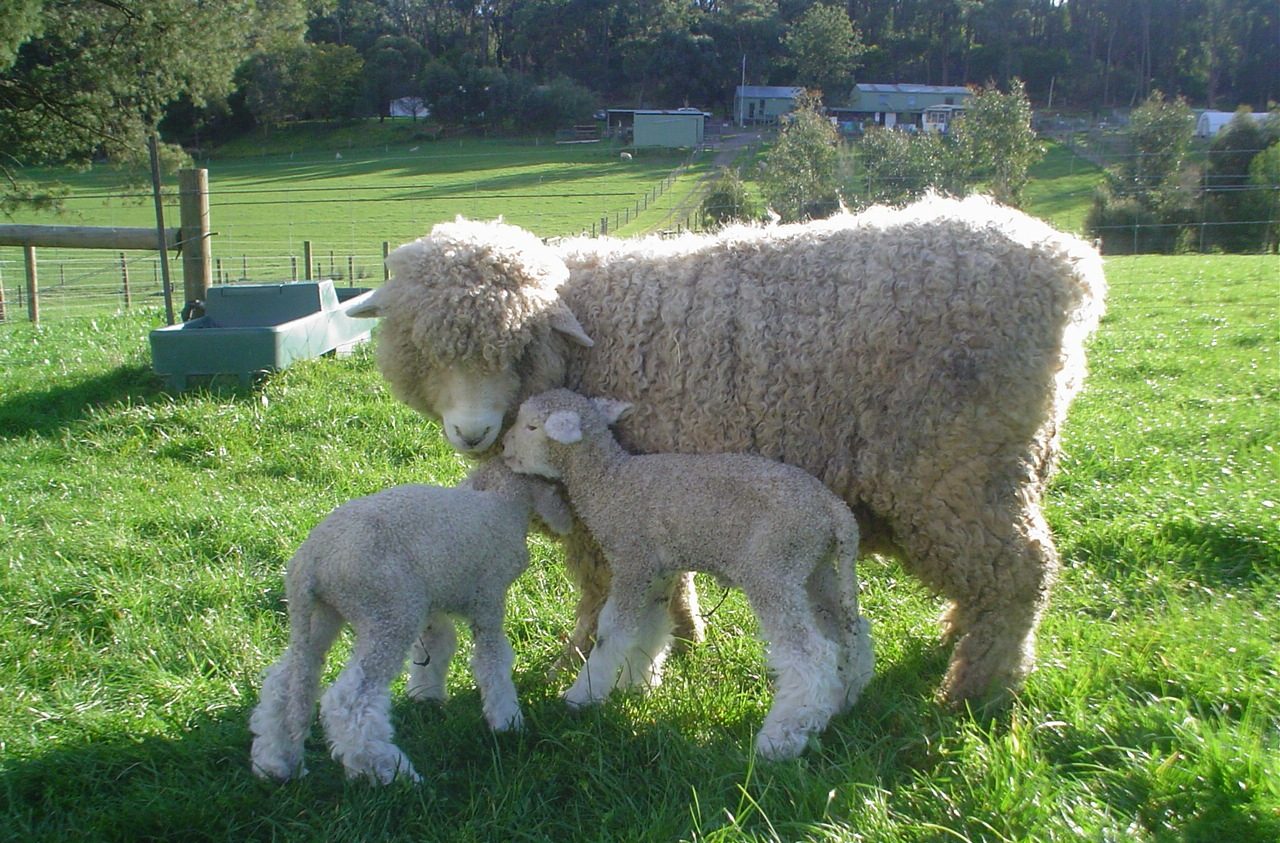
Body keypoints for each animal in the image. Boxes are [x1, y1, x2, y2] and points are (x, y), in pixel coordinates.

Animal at [249, 460, 572, 784]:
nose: (569, 517)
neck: (502, 501)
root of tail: (311, 562)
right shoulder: (488, 596)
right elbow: (492, 661)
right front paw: (507, 721)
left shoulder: (431, 600)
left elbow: (437, 645)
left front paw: (426, 696)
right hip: (388, 612)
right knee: (350, 700)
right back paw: (388, 771)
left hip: (320, 616)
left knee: (285, 683)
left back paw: (275, 762)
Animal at [349, 193, 1107, 704]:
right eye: (420, 346)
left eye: (516, 345)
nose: (473, 432)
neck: (583, 334)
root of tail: (1071, 268)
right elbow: (666, 580)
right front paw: (683, 635)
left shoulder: (601, 510)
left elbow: (598, 589)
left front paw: (579, 658)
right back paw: (959, 640)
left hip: (958, 467)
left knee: (1020, 572)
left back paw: (979, 689)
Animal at [502, 388, 874, 760]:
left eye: (531, 426)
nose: (504, 449)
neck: (609, 482)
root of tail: (835, 510)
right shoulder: (657, 573)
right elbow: (650, 629)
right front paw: (635, 686)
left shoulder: (632, 561)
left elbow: (613, 631)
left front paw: (582, 695)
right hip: (814, 568)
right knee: (849, 635)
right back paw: (840, 700)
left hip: (774, 566)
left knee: (812, 654)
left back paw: (781, 738)